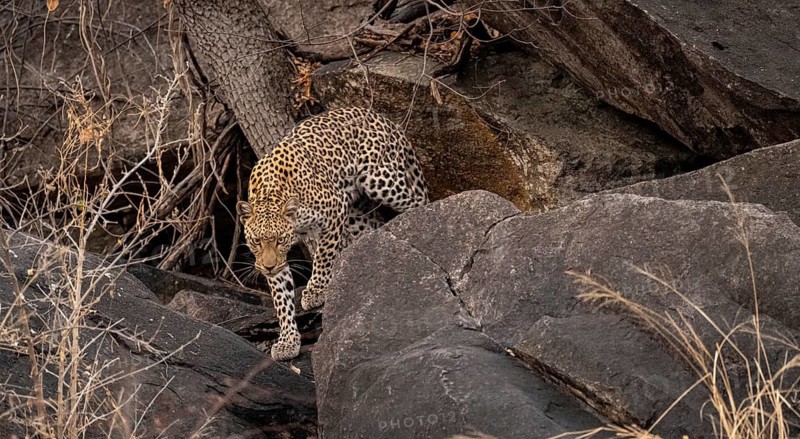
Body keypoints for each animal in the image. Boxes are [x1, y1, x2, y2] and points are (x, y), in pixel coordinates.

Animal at [237, 107, 429, 361]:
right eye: (256, 241)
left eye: (281, 240)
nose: (268, 267)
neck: (271, 195)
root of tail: (383, 118)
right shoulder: (276, 260)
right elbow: (282, 298)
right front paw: (288, 341)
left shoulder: (335, 209)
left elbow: (323, 256)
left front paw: (316, 291)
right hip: (357, 213)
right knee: (373, 228)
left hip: (381, 181)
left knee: (419, 200)